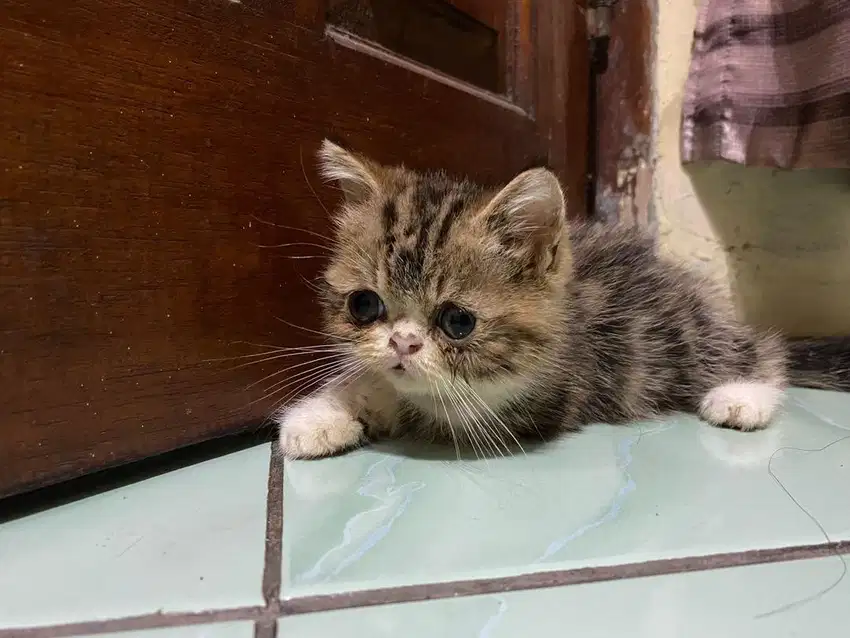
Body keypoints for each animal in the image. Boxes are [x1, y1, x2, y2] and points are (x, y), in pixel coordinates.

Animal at [274, 140, 844, 460]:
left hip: (680, 330)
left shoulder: (545, 398)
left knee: (760, 348)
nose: (401, 343)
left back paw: (743, 396)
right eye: (364, 306)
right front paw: (322, 415)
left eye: (457, 321)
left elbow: (431, 404)